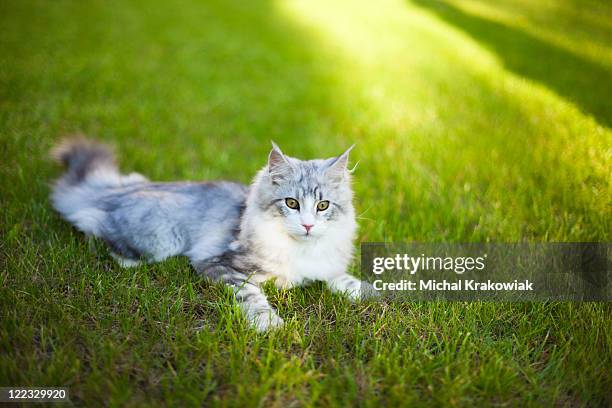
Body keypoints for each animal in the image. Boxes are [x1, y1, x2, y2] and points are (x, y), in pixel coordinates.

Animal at [50, 137, 372, 332]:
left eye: (322, 205)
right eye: (291, 203)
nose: (307, 226)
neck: (300, 249)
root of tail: (113, 192)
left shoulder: (326, 264)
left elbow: (341, 278)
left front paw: (368, 292)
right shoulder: (220, 263)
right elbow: (252, 296)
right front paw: (269, 324)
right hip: (157, 238)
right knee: (92, 224)